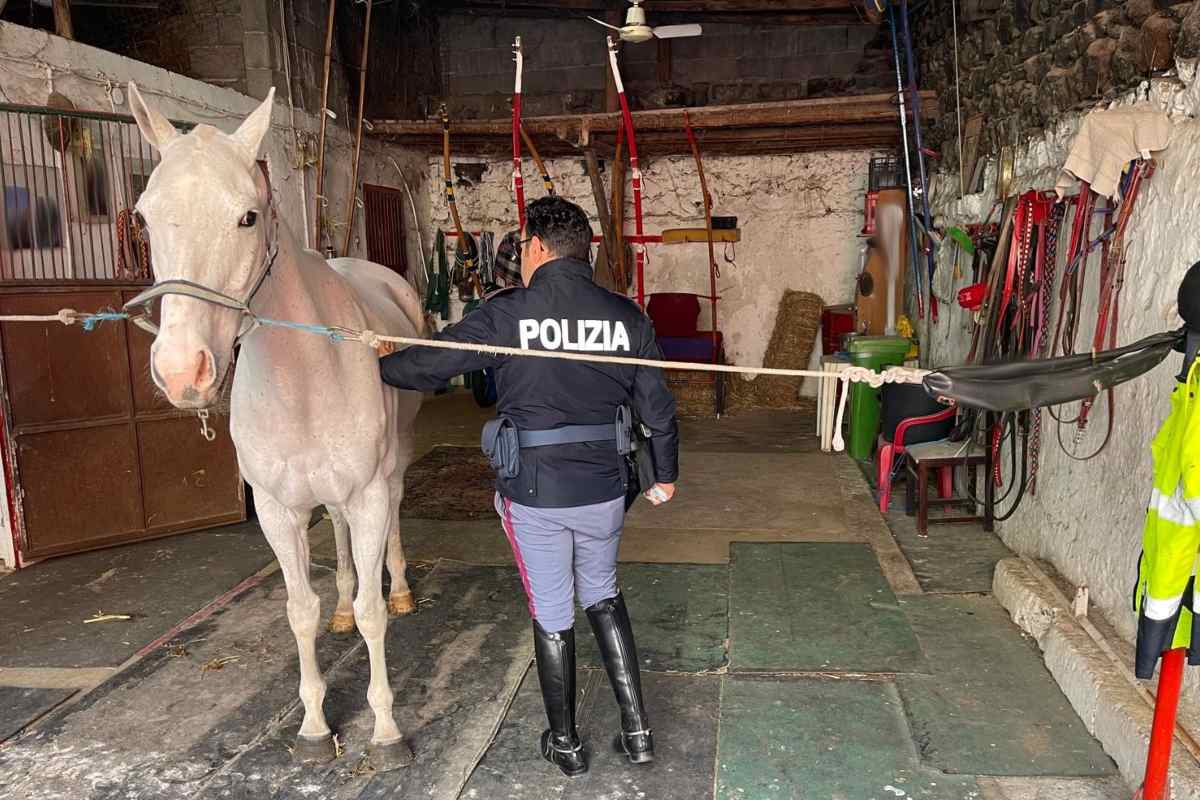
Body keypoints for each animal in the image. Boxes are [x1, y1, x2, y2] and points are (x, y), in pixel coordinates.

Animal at [126, 83, 424, 768]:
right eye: (144, 216)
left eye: (248, 217)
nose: (182, 370)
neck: (305, 378)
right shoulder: (276, 508)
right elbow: (299, 611)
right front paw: (314, 725)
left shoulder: (367, 493)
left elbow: (373, 614)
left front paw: (386, 730)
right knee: (336, 541)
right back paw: (340, 606)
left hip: (391, 467)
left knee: (395, 517)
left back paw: (400, 588)